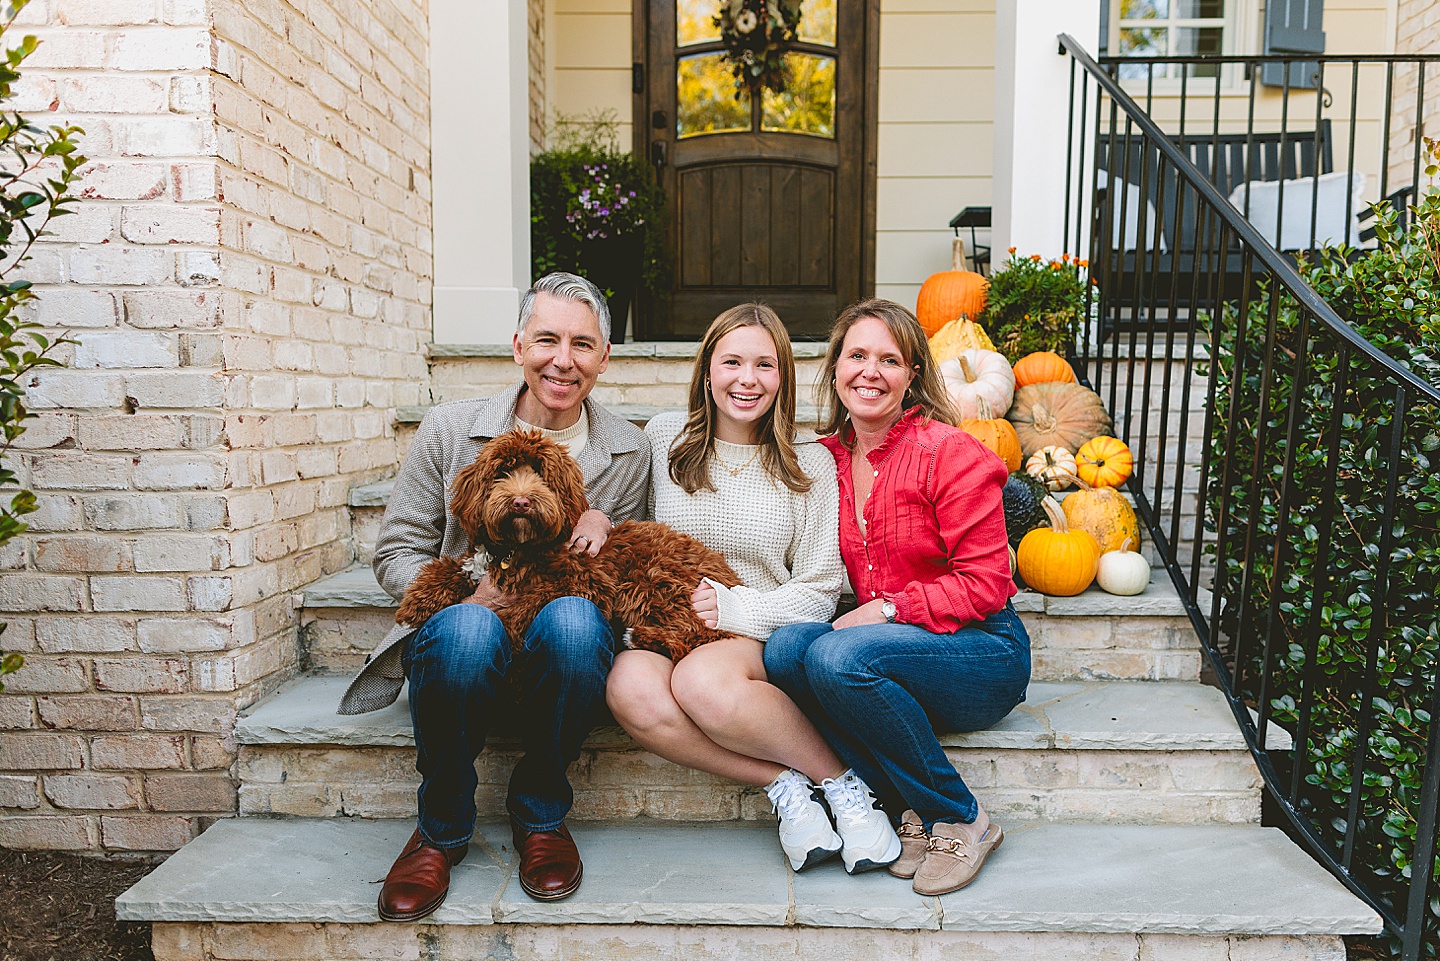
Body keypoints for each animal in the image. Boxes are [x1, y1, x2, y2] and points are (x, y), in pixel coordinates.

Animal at [394, 429, 743, 662]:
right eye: (502, 471)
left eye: (541, 473)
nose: (521, 502)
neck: (517, 547)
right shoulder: (479, 561)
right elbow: (452, 566)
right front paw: (417, 600)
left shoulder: (583, 582)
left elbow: (527, 604)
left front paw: (504, 625)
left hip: (652, 581)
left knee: (704, 634)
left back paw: (640, 636)